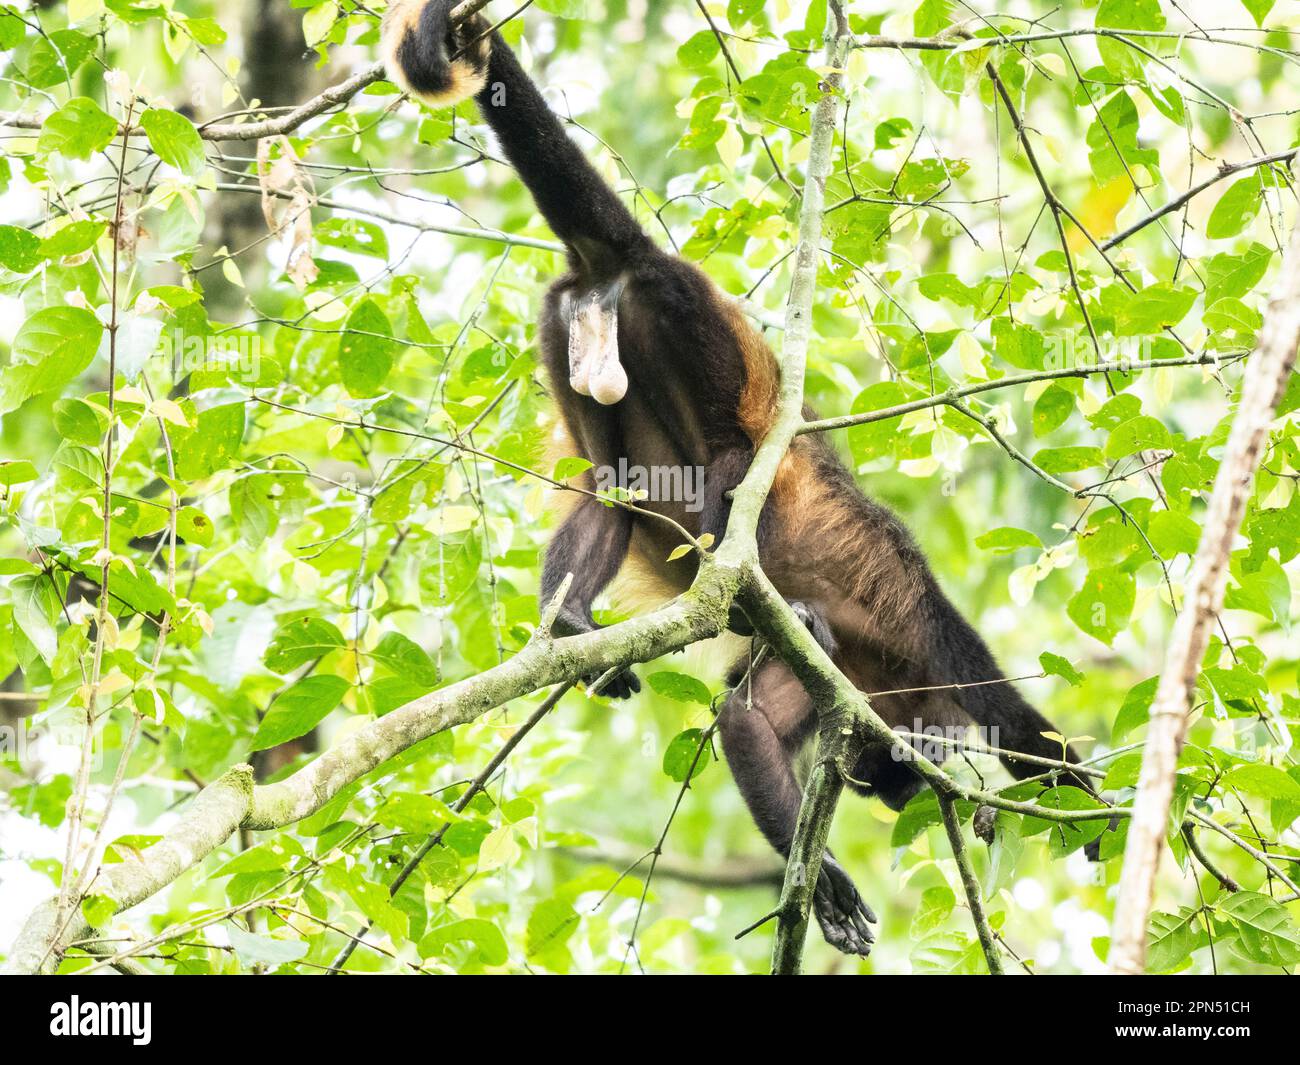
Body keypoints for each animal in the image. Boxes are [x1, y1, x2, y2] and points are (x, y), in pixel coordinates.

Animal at [379, 0, 1102, 962]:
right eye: (889, 781)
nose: (888, 785)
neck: (896, 682)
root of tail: (632, 259)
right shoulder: (927, 642)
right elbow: (1016, 729)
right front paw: (833, 878)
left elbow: (741, 717)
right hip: (697, 331)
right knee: (732, 461)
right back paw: (738, 561)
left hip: (572, 327)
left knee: (613, 486)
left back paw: (569, 618)